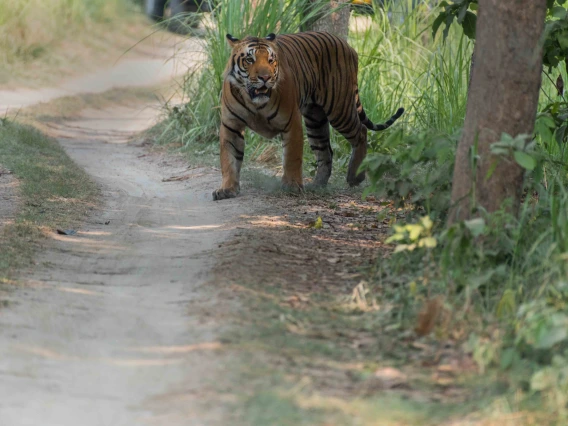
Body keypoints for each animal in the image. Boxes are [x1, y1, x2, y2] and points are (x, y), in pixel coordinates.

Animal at [213, 30, 404, 201]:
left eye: (270, 60)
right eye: (249, 60)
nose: (265, 78)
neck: (255, 101)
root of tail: (347, 45)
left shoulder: (291, 122)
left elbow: (292, 157)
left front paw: (291, 186)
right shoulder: (231, 126)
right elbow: (229, 159)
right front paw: (227, 189)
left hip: (339, 108)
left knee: (361, 131)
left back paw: (354, 177)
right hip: (315, 120)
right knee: (326, 151)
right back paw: (317, 184)